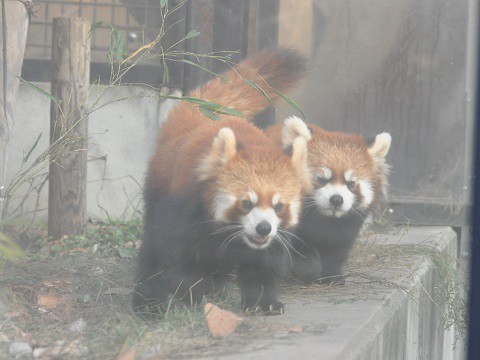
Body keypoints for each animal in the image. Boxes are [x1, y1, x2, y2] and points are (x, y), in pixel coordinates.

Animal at [133, 48, 310, 316]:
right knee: (151, 251)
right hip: (157, 192)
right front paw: (191, 293)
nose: (264, 228)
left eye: (279, 206)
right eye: (246, 203)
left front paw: (264, 302)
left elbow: (265, 264)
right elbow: (174, 257)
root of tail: (200, 122)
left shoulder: (274, 239)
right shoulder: (184, 212)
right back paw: (148, 303)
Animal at [264, 115, 392, 284]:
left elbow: (337, 250)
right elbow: (298, 246)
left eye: (350, 183)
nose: (336, 199)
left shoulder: (348, 223)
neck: (324, 218)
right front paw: (308, 271)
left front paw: (331, 275)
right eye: (321, 179)